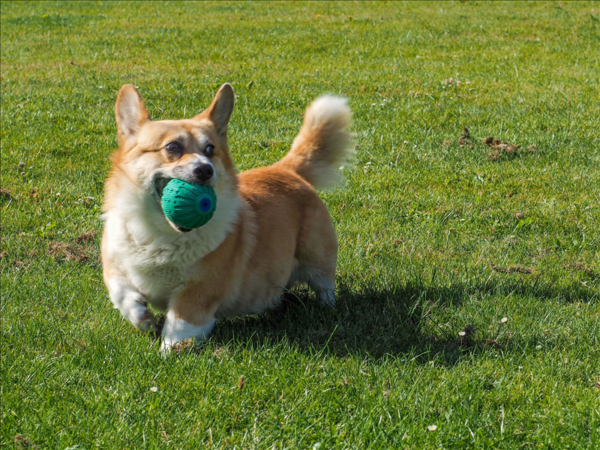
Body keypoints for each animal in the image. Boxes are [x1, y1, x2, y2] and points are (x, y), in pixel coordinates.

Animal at [99, 84, 352, 352]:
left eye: (210, 150)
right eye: (172, 147)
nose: (205, 169)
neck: (159, 234)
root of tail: (285, 170)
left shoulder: (199, 292)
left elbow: (180, 324)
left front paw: (170, 352)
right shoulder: (114, 262)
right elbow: (120, 291)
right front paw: (142, 317)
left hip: (317, 257)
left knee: (325, 285)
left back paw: (327, 308)